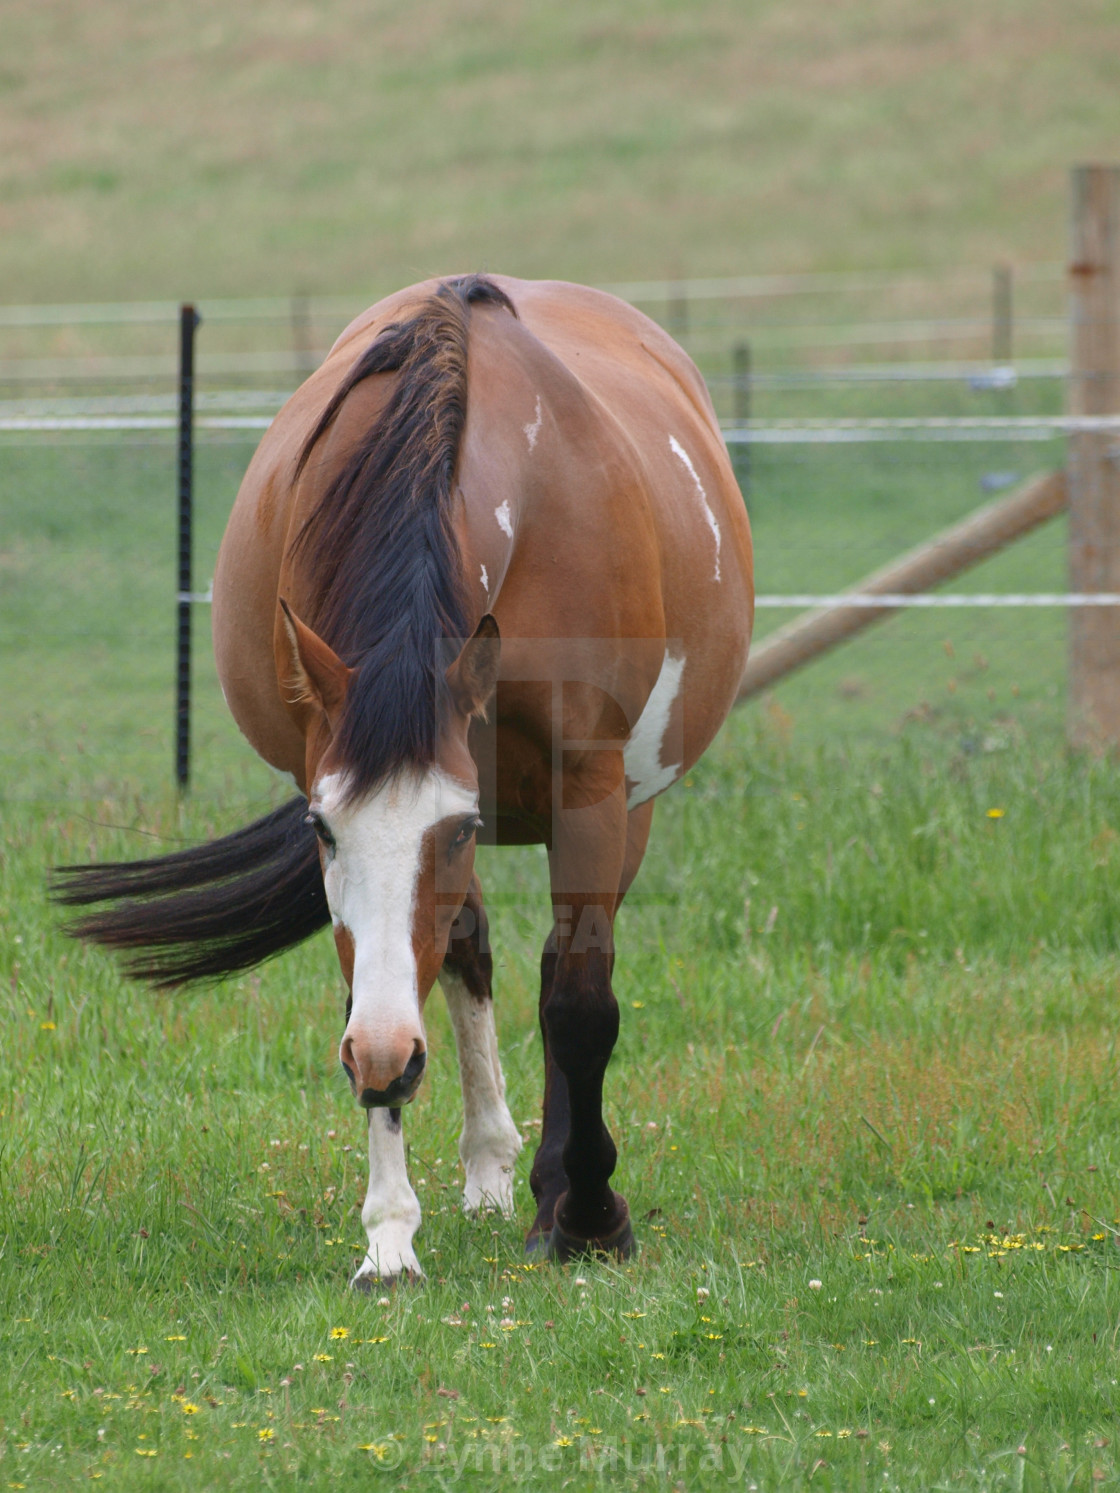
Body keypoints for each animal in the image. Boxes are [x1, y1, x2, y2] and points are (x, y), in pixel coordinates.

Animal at [52, 277, 755, 1283]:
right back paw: (491, 1165)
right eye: (320, 829)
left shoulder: (589, 789)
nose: (387, 1062)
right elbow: (375, 993)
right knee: (463, 951)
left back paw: (546, 1187)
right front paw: (389, 1232)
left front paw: (589, 1219)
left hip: (626, 810)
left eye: (457, 827)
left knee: (553, 967)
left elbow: (581, 1001)